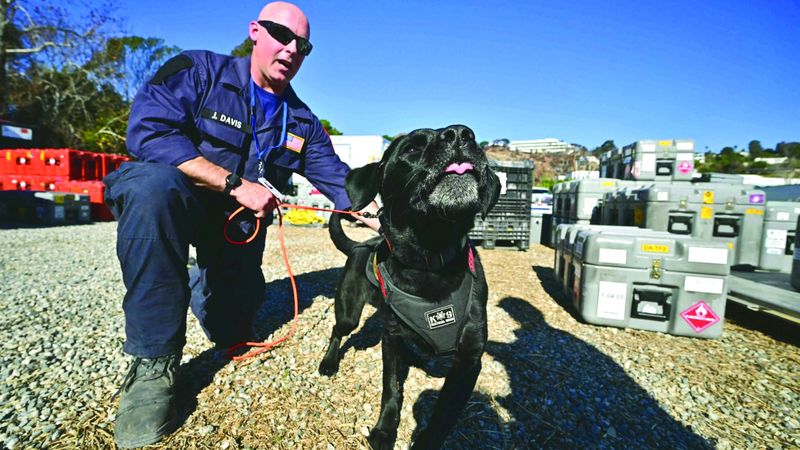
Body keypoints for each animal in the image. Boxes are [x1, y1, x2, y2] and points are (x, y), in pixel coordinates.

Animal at [320, 125, 500, 448]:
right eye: (411, 149)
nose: (461, 133)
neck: (429, 260)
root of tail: (360, 246)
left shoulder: (469, 359)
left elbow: (444, 414)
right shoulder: (391, 338)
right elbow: (391, 387)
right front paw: (384, 429)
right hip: (349, 311)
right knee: (337, 331)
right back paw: (329, 362)